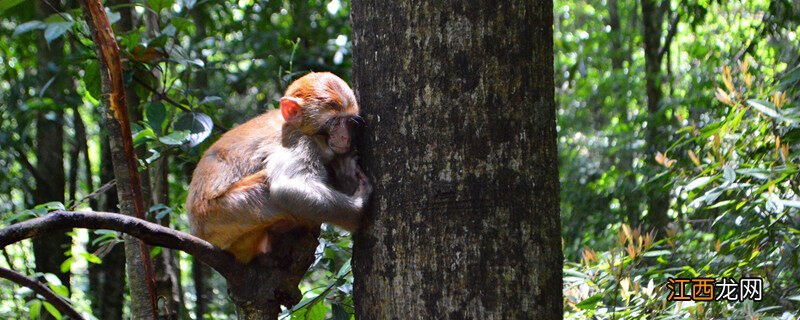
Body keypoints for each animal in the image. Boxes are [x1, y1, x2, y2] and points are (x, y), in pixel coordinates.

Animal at [187, 72, 372, 262]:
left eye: (349, 122)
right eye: (334, 122)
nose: (344, 137)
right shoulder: (298, 141)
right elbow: (286, 187)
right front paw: (359, 208)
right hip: (223, 215)